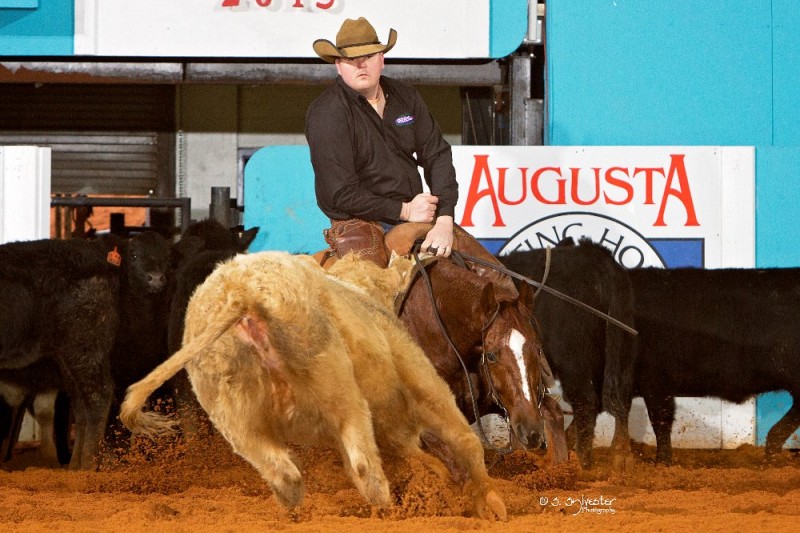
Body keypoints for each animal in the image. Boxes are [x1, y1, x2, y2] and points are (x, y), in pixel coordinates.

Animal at [120, 251, 506, 519]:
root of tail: (241, 294)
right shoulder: (419, 381)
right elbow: (463, 439)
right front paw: (489, 502)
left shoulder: (392, 426)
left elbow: (420, 456)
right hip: (342, 397)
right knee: (364, 468)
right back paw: (390, 512)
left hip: (238, 421)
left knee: (285, 475)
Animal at [498, 238, 637, 470]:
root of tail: (602, 260)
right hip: (619, 352)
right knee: (619, 398)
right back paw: (620, 456)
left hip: (573, 362)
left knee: (586, 402)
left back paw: (580, 459)